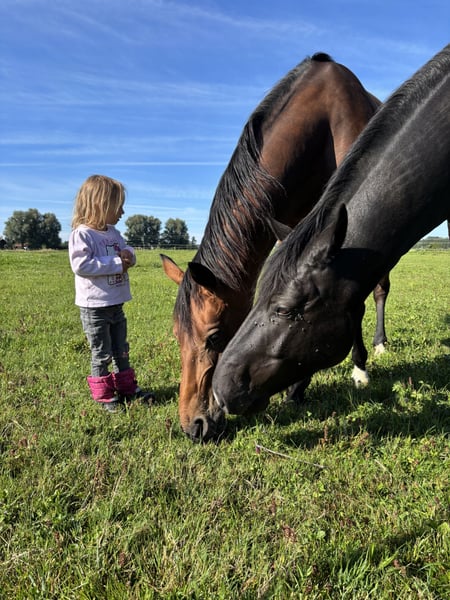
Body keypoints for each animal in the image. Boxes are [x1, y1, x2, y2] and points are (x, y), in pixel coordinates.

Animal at [161, 52, 382, 442]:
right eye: (177, 335)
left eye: (214, 338)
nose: (194, 426)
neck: (319, 119)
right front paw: (294, 385)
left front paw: (350, 371)